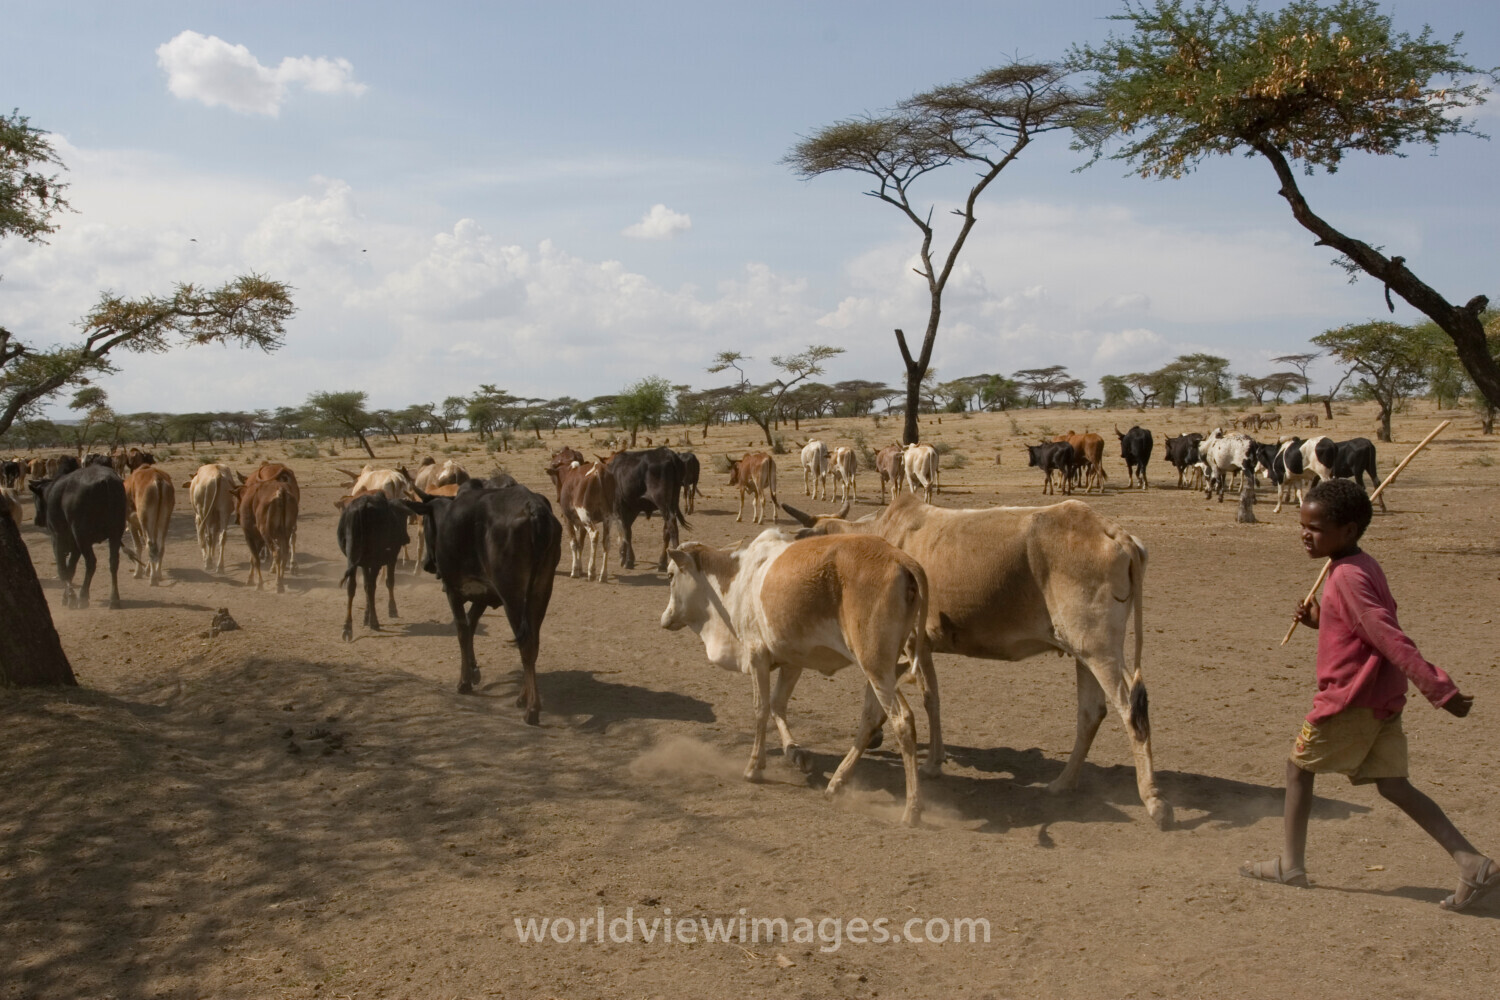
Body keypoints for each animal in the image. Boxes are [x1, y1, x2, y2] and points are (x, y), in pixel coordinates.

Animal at [28, 464, 129, 609]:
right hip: (115, 534)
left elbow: (63, 569)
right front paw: (67, 595)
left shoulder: (57, 539)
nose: (36, 520)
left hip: (82, 536)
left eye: (34, 498)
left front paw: (70, 596)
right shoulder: (74, 545)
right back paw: (114, 599)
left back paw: (83, 596)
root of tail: (106, 481)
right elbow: (71, 568)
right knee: (113, 562)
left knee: (91, 562)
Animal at [336, 492, 409, 641]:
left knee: (351, 587)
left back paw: (347, 627)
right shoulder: (390, 558)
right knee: (371, 588)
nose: (406, 538)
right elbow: (389, 582)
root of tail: (361, 506)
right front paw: (391, 609)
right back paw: (375, 622)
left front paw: (366, 616)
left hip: (352, 558)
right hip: (375, 561)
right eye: (404, 516)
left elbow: (364, 586)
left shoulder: (364, 564)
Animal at [401, 481, 562, 721]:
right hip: (540, 592)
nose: (428, 564)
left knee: (525, 642)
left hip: (512, 596)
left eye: (427, 523)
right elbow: (471, 626)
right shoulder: (485, 595)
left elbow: (462, 630)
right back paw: (523, 697)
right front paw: (473, 670)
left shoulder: (453, 590)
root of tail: (534, 509)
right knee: (533, 641)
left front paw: (464, 680)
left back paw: (532, 709)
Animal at [661, 531, 936, 826]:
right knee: (870, 719)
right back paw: (837, 782)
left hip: (876, 667)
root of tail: (902, 559)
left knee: (902, 720)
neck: (736, 579)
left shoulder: (756, 655)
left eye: (670, 575)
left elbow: (761, 709)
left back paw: (912, 809)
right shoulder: (791, 661)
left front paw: (754, 767)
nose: (665, 619)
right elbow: (777, 705)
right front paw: (796, 753)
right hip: (881, 670)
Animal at [783, 494, 1168, 829]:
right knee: (1091, 713)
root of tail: (1113, 532)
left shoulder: (910, 647)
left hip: (1099, 651)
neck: (882, 537)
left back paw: (1152, 800)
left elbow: (923, 700)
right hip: (1083, 654)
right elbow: (931, 699)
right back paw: (1063, 783)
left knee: (1131, 709)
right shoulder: (921, 648)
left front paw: (929, 763)